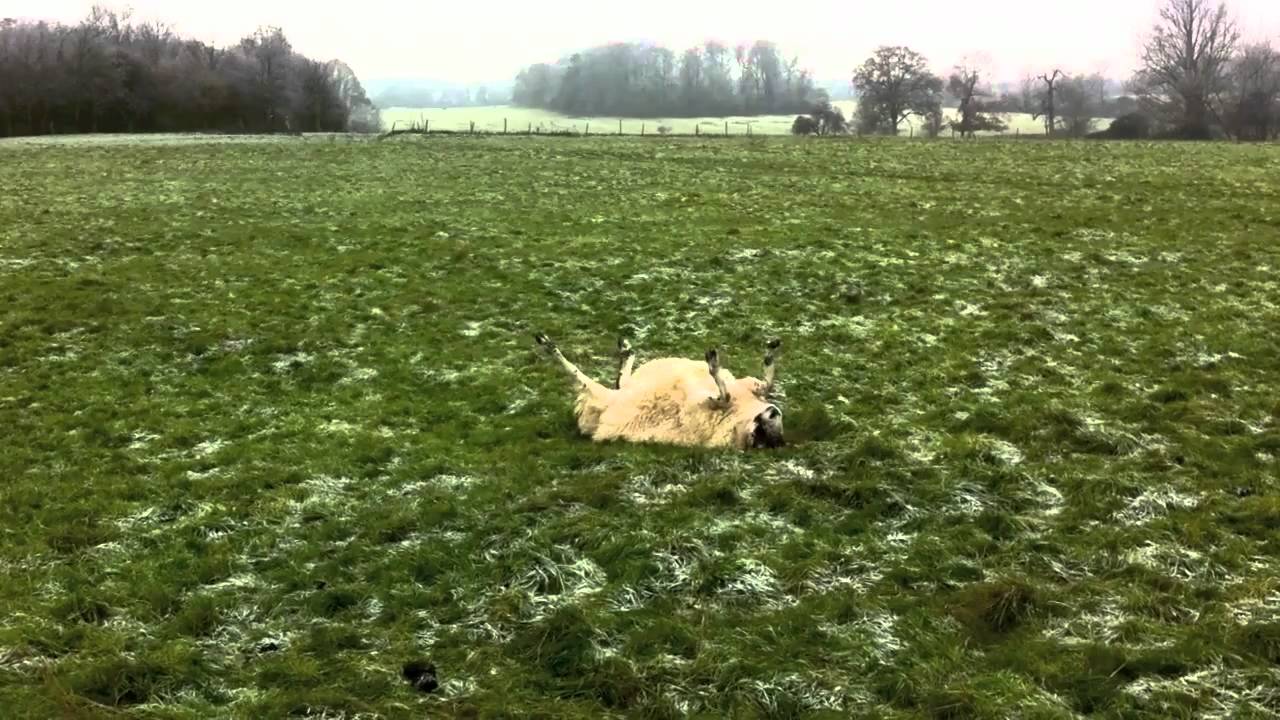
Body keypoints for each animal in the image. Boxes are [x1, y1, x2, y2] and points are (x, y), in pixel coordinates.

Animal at [533, 333, 784, 450]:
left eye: (764, 430)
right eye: (769, 422)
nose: (772, 412)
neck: (742, 413)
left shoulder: (710, 407)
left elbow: (723, 394)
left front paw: (713, 364)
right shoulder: (748, 386)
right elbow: (766, 381)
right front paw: (770, 353)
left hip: (608, 398)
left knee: (582, 377)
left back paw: (548, 344)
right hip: (624, 390)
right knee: (621, 380)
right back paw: (626, 351)